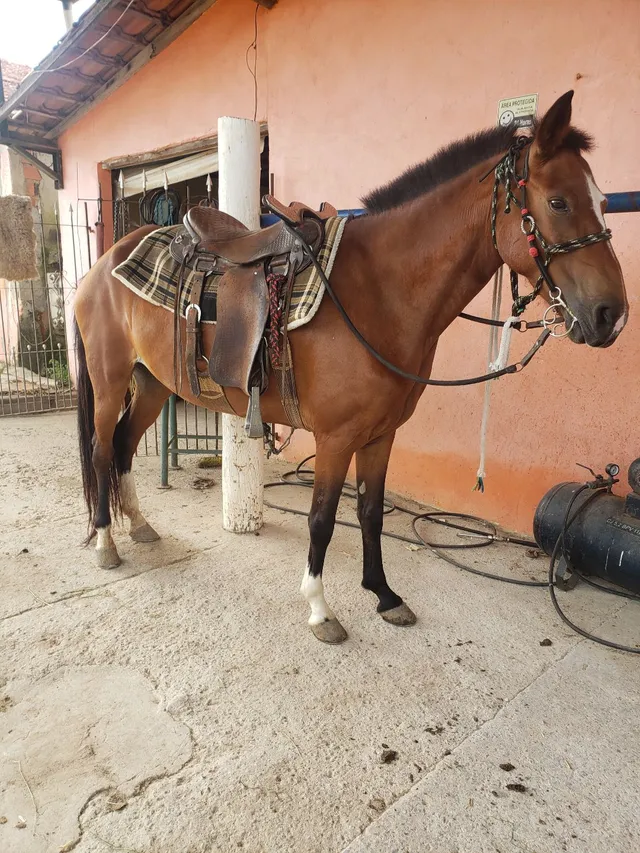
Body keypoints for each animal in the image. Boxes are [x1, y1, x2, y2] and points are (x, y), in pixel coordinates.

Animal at [74, 91, 624, 640]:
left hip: (151, 383)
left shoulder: (381, 434)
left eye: (602, 201)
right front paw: (321, 609)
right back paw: (105, 543)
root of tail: (108, 261)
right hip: (110, 380)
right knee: (102, 450)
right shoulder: (335, 438)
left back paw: (140, 526)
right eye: (558, 202)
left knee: (124, 445)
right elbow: (321, 519)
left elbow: (371, 512)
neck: (378, 292)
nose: (611, 315)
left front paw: (383, 594)